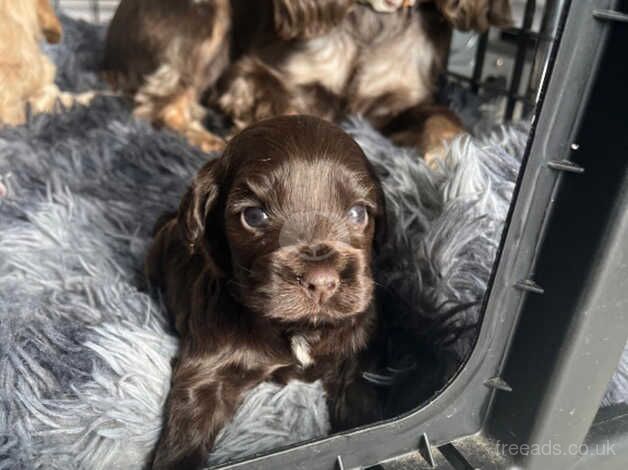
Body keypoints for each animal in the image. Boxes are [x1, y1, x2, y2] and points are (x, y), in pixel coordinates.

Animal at [103, 0, 512, 161]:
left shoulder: (405, 101)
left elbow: (443, 120)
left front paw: (452, 158)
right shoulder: (252, 73)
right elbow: (286, 107)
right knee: (160, 104)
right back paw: (205, 139)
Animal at [147, 114, 388, 470]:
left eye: (359, 213)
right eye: (254, 215)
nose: (322, 281)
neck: (297, 329)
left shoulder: (353, 355)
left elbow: (361, 406)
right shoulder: (207, 371)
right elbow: (186, 432)